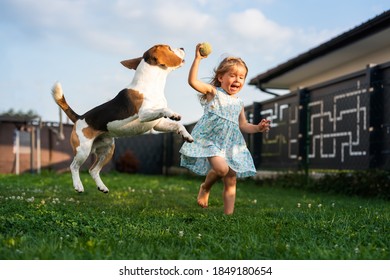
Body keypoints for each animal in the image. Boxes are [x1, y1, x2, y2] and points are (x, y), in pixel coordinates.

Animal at [52, 44, 193, 192]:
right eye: (169, 48)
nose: (182, 48)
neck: (151, 84)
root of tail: (79, 118)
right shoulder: (143, 114)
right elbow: (164, 109)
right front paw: (173, 114)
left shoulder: (157, 124)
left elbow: (178, 125)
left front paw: (187, 135)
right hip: (83, 151)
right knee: (73, 166)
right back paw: (78, 185)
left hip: (108, 150)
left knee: (93, 170)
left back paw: (102, 187)